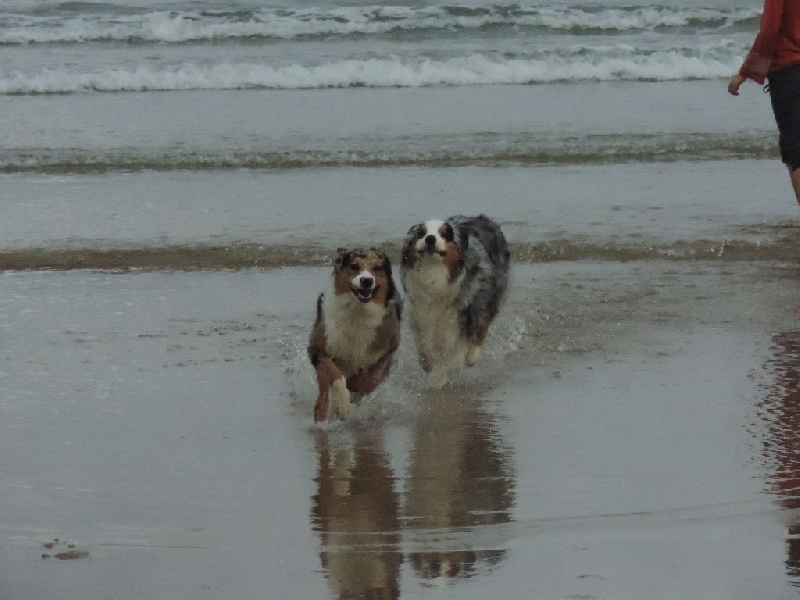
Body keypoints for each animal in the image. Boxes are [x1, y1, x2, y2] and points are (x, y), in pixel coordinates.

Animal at [310, 247, 404, 422]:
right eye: (354, 266)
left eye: (378, 268)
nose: (367, 281)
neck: (357, 311)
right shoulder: (319, 347)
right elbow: (334, 374)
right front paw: (342, 406)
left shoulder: (385, 353)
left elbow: (369, 381)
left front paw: (350, 405)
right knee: (323, 387)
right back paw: (322, 413)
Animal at [404, 216, 510, 390]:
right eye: (421, 233)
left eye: (444, 234)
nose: (430, 238)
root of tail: (482, 218)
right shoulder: (420, 315)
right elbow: (424, 346)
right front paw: (428, 365)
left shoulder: (461, 316)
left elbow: (452, 354)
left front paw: (437, 378)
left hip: (487, 299)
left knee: (480, 330)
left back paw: (471, 357)